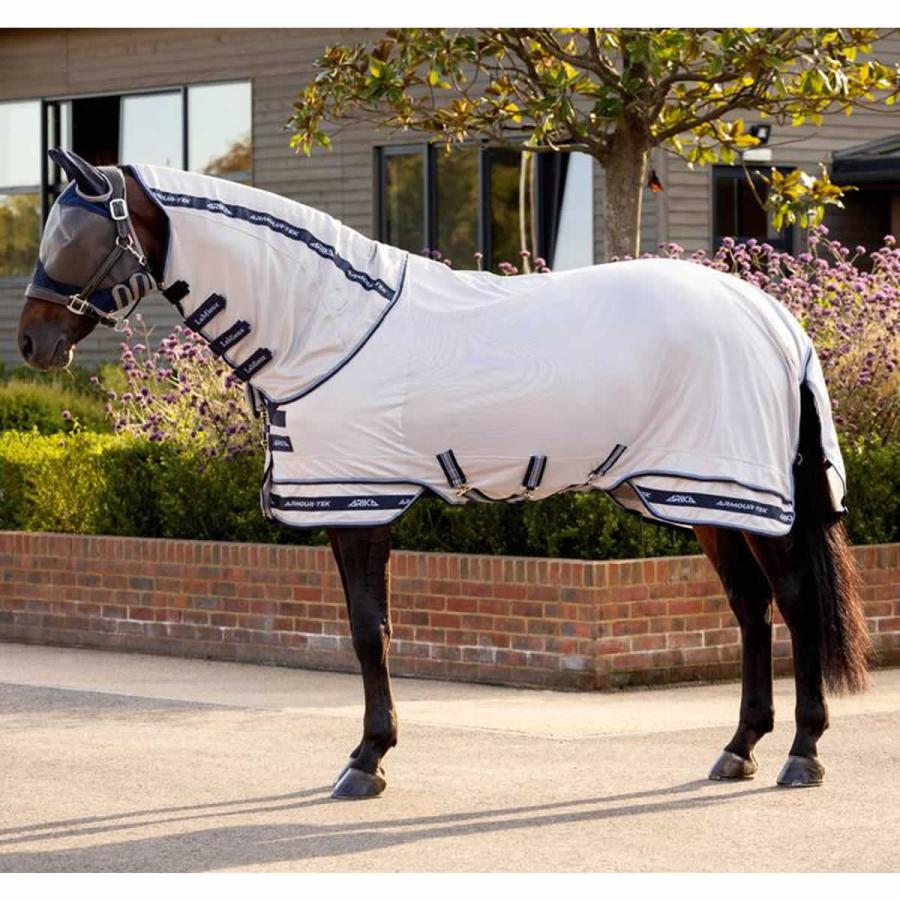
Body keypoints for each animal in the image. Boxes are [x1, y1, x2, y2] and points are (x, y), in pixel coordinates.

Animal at [17, 148, 871, 800]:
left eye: (80, 238)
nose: (31, 343)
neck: (323, 326)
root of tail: (775, 320)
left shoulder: (357, 506)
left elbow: (368, 633)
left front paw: (365, 763)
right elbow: (372, 631)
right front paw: (371, 754)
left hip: (744, 500)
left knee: (796, 607)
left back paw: (804, 755)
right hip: (704, 501)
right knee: (751, 611)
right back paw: (739, 749)